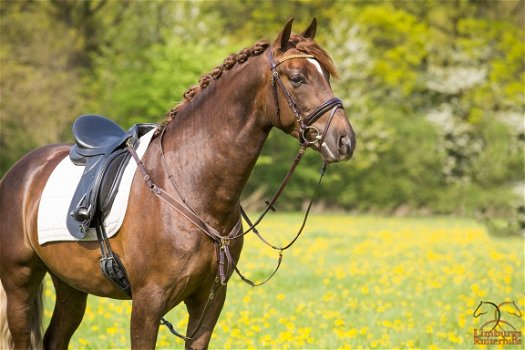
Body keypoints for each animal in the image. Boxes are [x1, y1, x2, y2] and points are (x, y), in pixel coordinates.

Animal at [0, 19, 354, 350]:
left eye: (326, 75)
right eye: (297, 78)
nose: (345, 140)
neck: (190, 189)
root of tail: (20, 171)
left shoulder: (209, 301)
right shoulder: (147, 304)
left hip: (71, 286)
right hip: (19, 284)